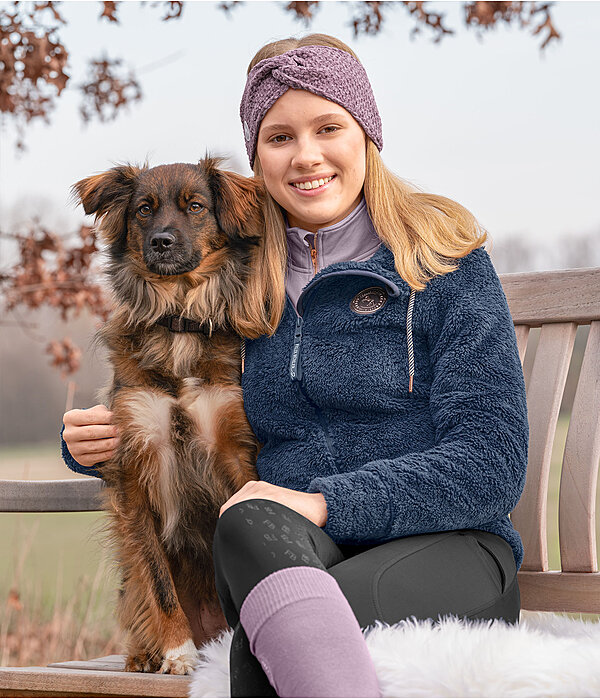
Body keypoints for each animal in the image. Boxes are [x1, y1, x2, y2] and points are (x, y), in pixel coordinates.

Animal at [70, 159, 268, 672]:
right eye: (144, 209)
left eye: (195, 206)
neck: (179, 319)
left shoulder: (232, 450)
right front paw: (179, 653)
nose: (161, 241)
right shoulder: (135, 466)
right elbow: (158, 581)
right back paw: (149, 654)